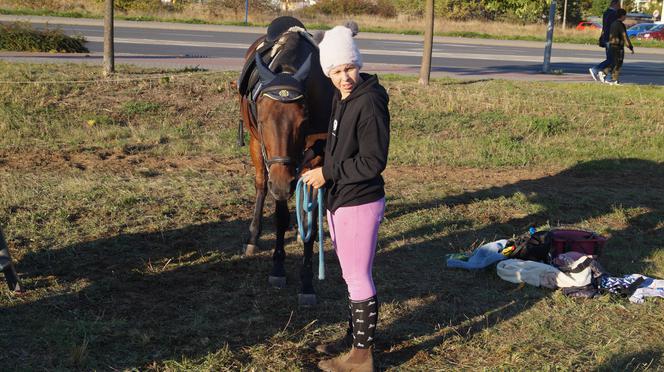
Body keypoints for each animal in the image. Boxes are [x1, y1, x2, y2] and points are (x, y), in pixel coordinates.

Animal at [237, 24, 332, 306]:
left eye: (303, 120)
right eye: (263, 119)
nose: (281, 184)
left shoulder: (315, 160)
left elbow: (311, 217)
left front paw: (307, 282)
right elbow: (279, 214)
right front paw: (278, 267)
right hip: (256, 147)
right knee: (260, 185)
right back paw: (253, 236)